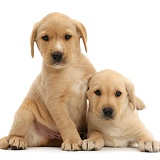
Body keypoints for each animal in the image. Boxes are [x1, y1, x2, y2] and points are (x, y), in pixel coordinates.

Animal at [0, 12, 95, 150]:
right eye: (45, 38)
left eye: (67, 36)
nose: (57, 54)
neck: (70, 69)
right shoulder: (55, 102)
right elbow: (66, 122)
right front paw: (72, 140)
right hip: (26, 110)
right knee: (13, 134)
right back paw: (17, 140)